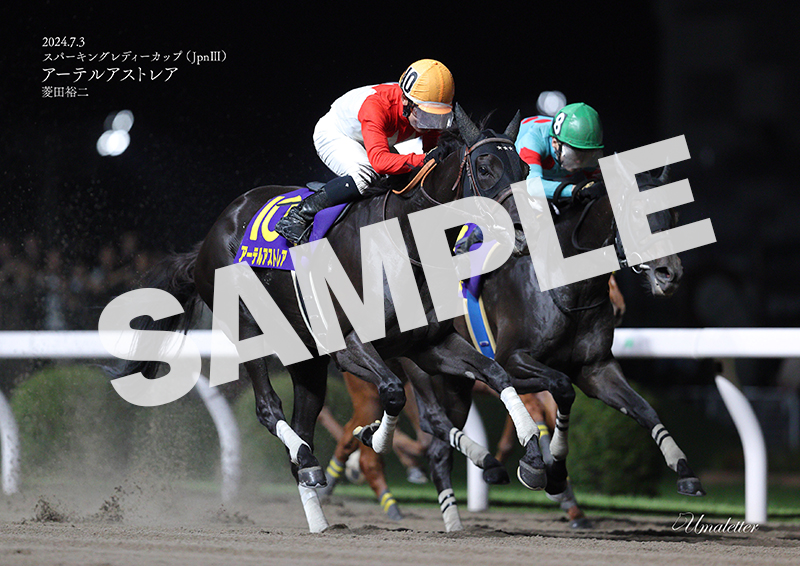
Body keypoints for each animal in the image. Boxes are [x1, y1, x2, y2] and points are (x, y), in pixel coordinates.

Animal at [114, 105, 567, 532]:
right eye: (485, 168)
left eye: (525, 170)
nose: (522, 232)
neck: (403, 242)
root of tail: (212, 235)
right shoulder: (350, 344)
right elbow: (393, 392)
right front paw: (372, 439)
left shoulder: (428, 345)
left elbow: (498, 375)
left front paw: (534, 460)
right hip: (249, 331)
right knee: (268, 409)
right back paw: (309, 463)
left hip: (308, 359)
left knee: (303, 424)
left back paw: (316, 506)